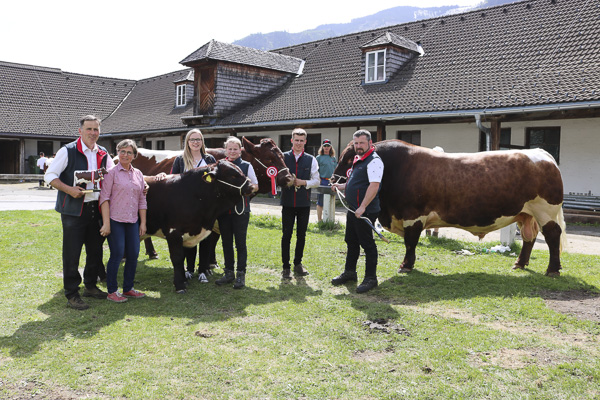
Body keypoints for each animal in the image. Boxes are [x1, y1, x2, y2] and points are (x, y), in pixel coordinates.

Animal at [144, 160, 254, 294]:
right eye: (232, 175)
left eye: (241, 170)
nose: (252, 186)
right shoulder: (173, 232)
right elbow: (178, 258)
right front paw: (180, 285)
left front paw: (186, 279)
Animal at [332, 140, 568, 276]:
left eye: (349, 159)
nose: (333, 180)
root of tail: (542, 154)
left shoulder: (413, 216)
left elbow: (410, 242)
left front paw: (406, 265)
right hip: (526, 213)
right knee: (529, 237)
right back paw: (520, 263)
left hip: (544, 210)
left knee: (552, 235)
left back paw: (552, 270)